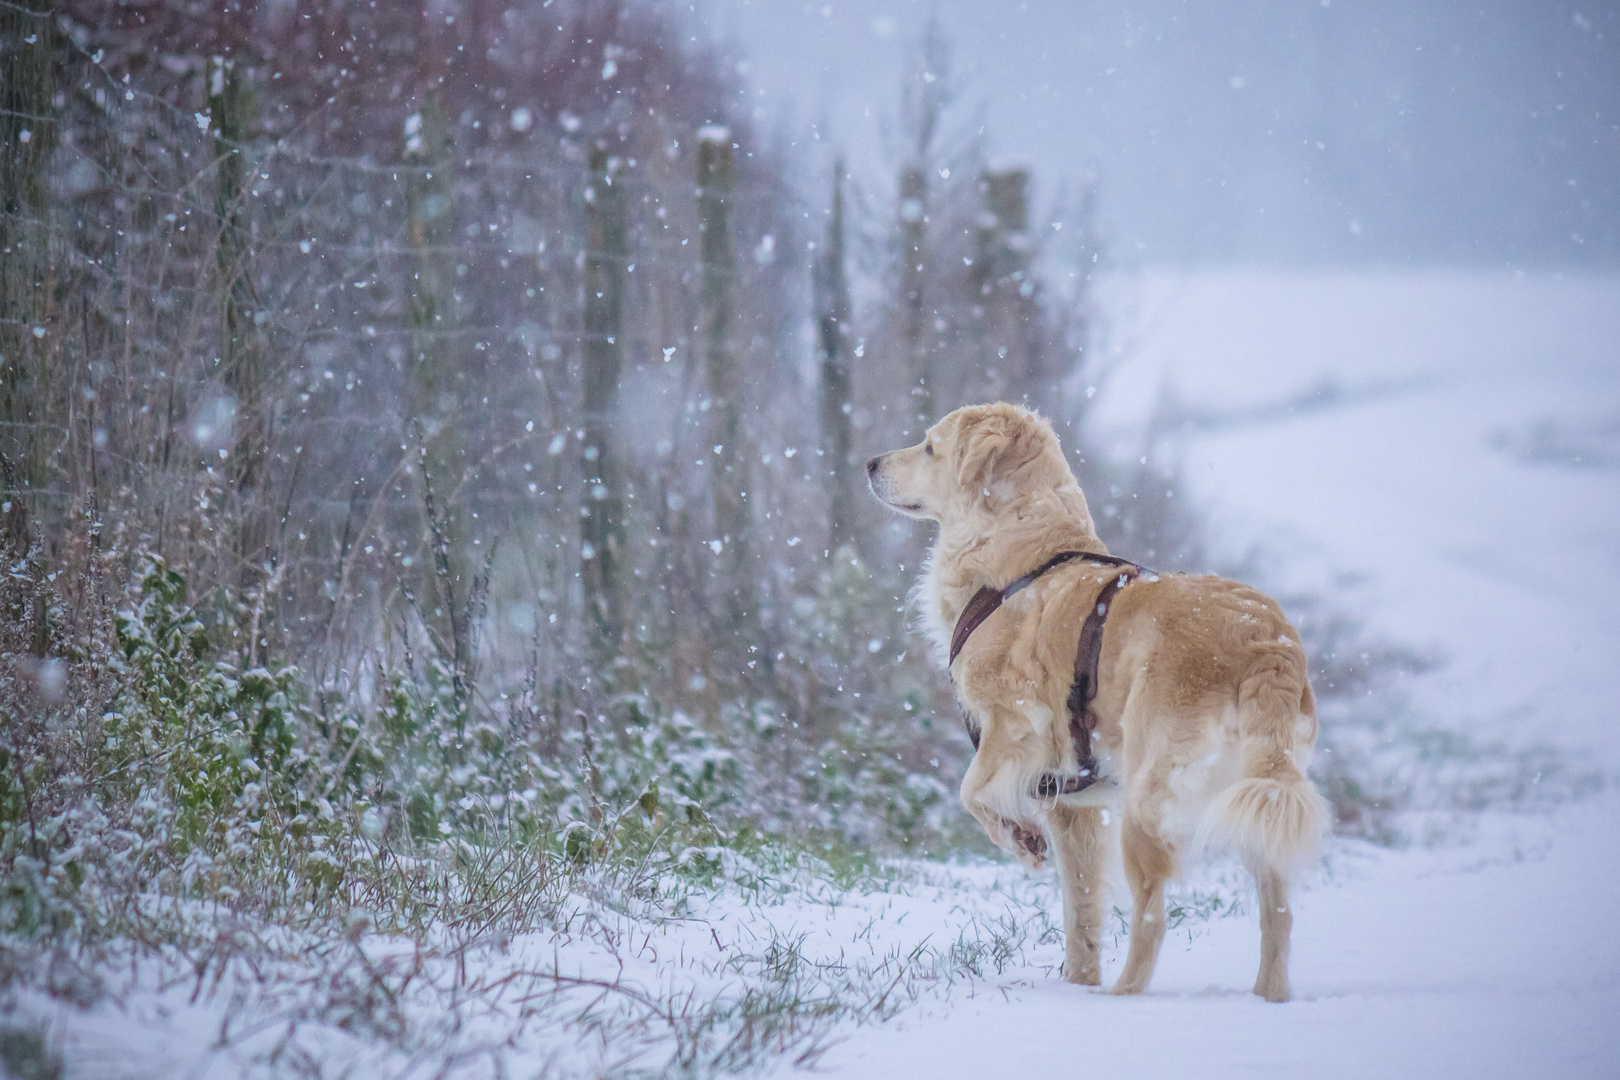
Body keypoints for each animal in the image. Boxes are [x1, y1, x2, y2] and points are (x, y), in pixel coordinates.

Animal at [868, 401, 1321, 1003]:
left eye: (929, 447)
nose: (870, 463)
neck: (1021, 553)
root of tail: (1264, 638)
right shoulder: (1073, 804)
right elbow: (1080, 907)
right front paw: (1077, 981)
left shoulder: (1018, 726)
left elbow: (971, 792)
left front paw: (1021, 839)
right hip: (1258, 796)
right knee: (1279, 914)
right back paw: (1267, 996)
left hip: (1150, 800)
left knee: (1153, 917)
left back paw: (1122, 995)